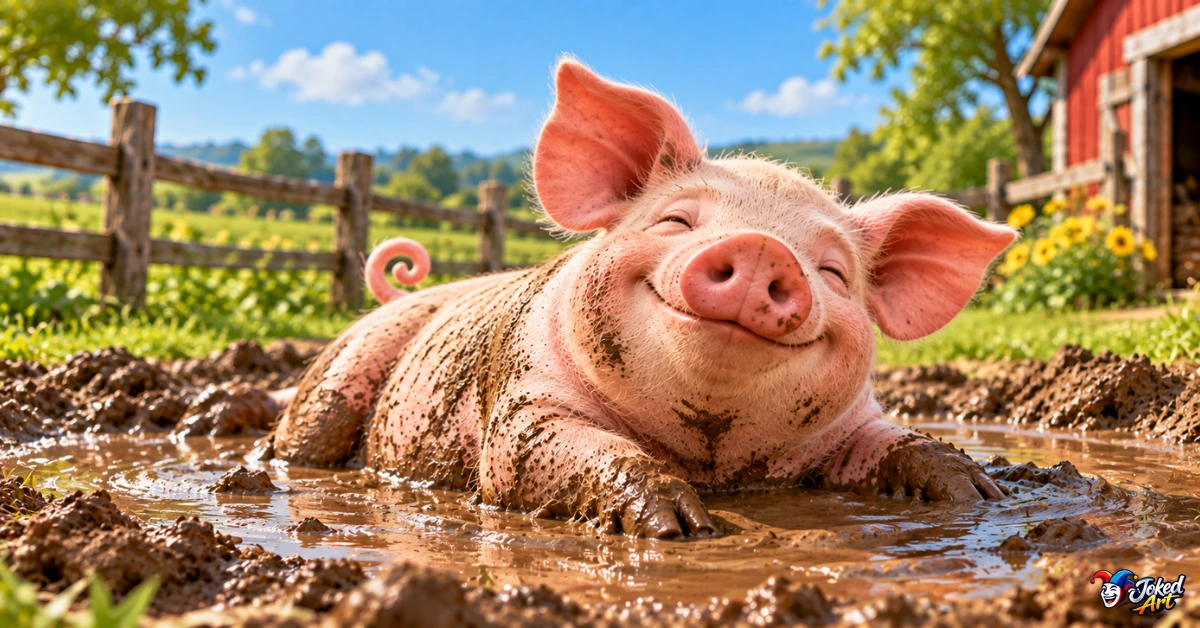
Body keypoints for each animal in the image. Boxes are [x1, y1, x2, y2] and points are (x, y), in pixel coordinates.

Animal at [268, 59, 1016, 539]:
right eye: (676, 222)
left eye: (833, 273)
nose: (763, 249)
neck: (710, 459)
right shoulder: (522, 409)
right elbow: (560, 453)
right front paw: (683, 530)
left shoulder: (855, 423)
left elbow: (903, 445)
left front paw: (982, 496)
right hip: (340, 374)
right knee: (303, 437)